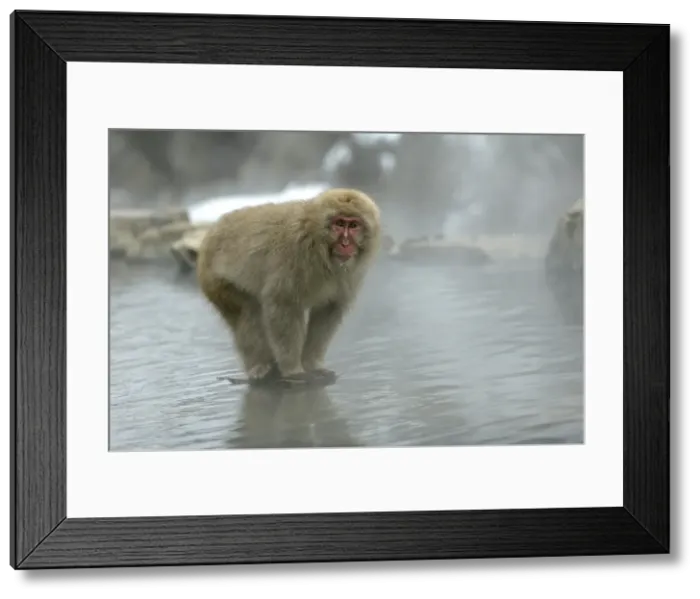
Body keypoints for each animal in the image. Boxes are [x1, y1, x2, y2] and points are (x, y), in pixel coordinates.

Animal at [196, 188, 381, 386]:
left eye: (354, 225)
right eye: (339, 223)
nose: (345, 243)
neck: (320, 246)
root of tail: (211, 232)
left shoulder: (350, 274)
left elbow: (328, 310)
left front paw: (312, 364)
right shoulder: (294, 253)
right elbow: (283, 306)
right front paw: (293, 370)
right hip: (215, 281)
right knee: (247, 311)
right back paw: (260, 367)